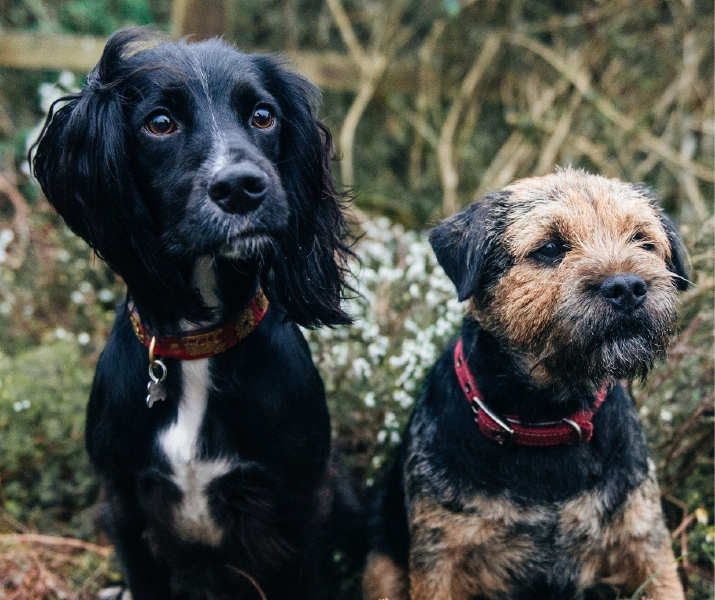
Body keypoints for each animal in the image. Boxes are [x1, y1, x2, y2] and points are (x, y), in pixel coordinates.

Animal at [31, 27, 360, 600]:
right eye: (160, 123)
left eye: (263, 116)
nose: (241, 186)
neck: (197, 341)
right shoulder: (126, 504)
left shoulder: (299, 503)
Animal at [364, 169, 688, 600]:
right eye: (550, 248)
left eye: (643, 240)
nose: (628, 287)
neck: (547, 418)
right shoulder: (439, 559)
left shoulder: (645, 542)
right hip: (381, 568)